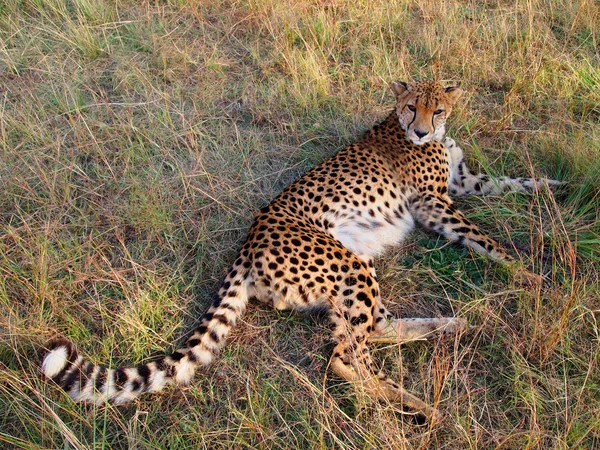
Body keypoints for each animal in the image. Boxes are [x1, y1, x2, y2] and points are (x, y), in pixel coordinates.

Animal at [41, 80, 556, 418]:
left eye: (439, 110)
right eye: (411, 108)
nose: (424, 132)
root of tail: (249, 240)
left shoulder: (462, 182)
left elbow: (506, 182)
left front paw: (550, 186)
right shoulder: (433, 204)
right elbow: (483, 237)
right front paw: (530, 273)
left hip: (355, 268)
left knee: (372, 330)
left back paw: (446, 325)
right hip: (348, 266)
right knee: (346, 358)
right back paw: (421, 405)